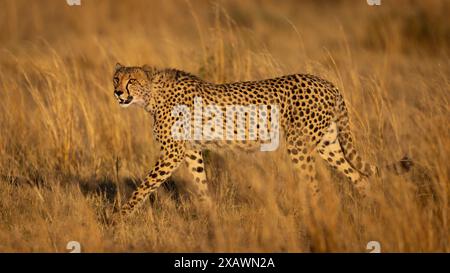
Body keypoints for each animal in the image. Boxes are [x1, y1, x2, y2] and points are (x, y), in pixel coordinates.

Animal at [111, 62, 412, 218]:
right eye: (116, 78)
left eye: (131, 81)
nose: (117, 93)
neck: (152, 95)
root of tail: (327, 83)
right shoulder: (192, 151)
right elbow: (200, 183)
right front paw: (212, 217)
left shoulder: (172, 153)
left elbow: (144, 186)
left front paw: (120, 216)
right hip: (327, 143)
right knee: (358, 176)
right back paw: (369, 210)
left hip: (299, 145)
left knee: (314, 184)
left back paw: (314, 218)